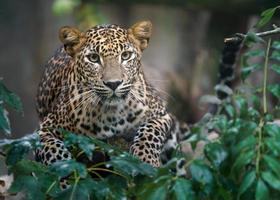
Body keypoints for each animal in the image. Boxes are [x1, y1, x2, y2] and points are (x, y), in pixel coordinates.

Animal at [34, 20, 190, 170]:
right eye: (93, 58)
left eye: (126, 55)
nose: (113, 83)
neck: (112, 114)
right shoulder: (44, 128)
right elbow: (53, 150)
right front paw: (66, 170)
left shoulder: (161, 115)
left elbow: (150, 132)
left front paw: (146, 160)